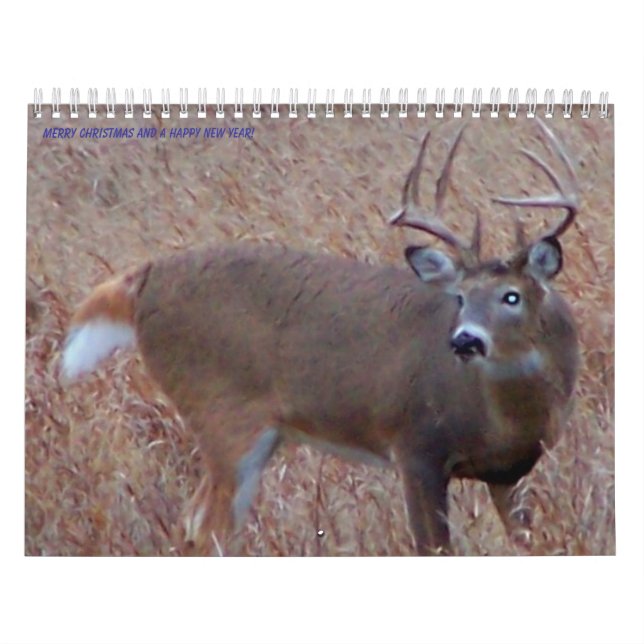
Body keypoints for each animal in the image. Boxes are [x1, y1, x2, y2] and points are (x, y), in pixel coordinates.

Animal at [61, 118, 580, 555]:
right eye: (460, 297)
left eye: (512, 296)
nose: (465, 341)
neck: (502, 419)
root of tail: (142, 279)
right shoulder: (416, 446)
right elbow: (432, 548)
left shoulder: (513, 471)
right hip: (221, 412)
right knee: (205, 529)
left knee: (194, 526)